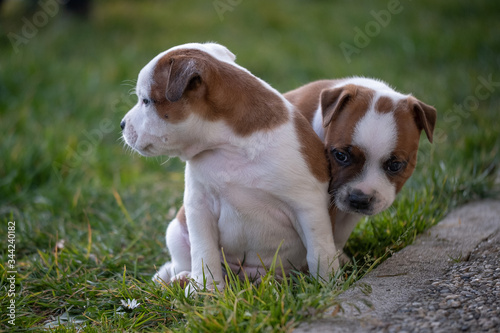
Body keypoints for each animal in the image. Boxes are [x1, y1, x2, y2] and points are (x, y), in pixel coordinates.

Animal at [121, 42, 340, 290]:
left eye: (146, 101)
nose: (122, 124)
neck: (228, 145)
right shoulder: (199, 207)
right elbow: (204, 253)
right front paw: (204, 289)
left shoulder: (308, 207)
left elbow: (320, 250)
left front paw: (328, 283)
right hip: (176, 229)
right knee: (180, 261)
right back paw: (179, 277)